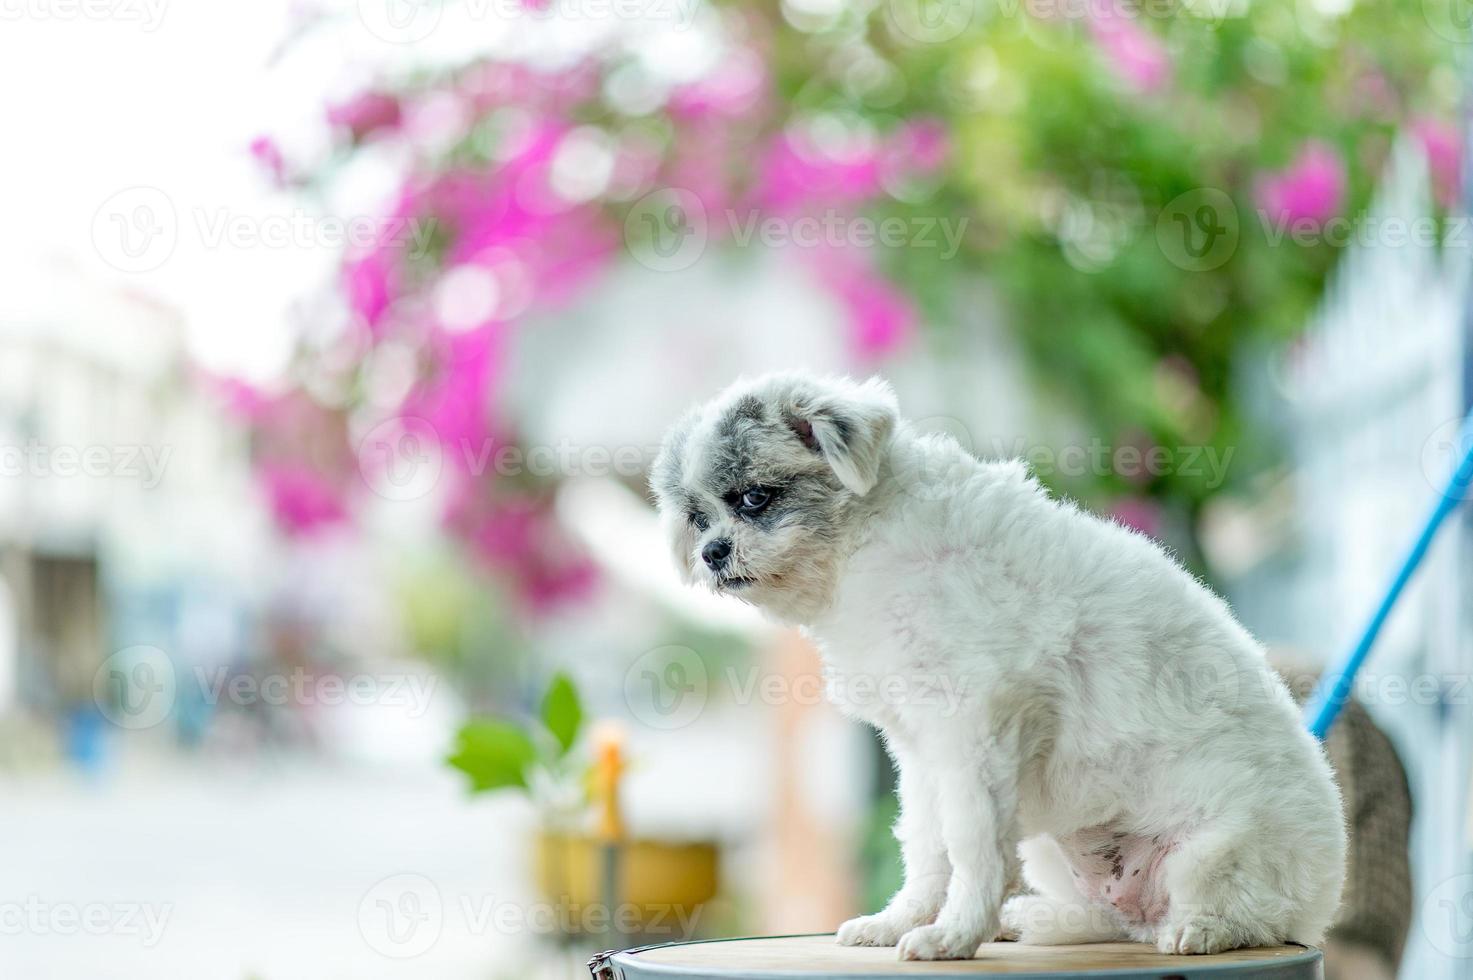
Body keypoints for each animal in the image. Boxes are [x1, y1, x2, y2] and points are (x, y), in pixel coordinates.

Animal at [656, 372, 1349, 954]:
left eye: (754, 498)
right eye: (697, 518)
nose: (712, 552)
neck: (870, 544)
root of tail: (1322, 903)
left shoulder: (976, 728)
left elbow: (970, 844)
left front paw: (953, 936)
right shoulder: (921, 748)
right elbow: (926, 846)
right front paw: (903, 922)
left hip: (1210, 854)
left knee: (1241, 919)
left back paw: (1202, 929)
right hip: (1055, 853)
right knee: (1117, 920)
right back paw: (1037, 919)